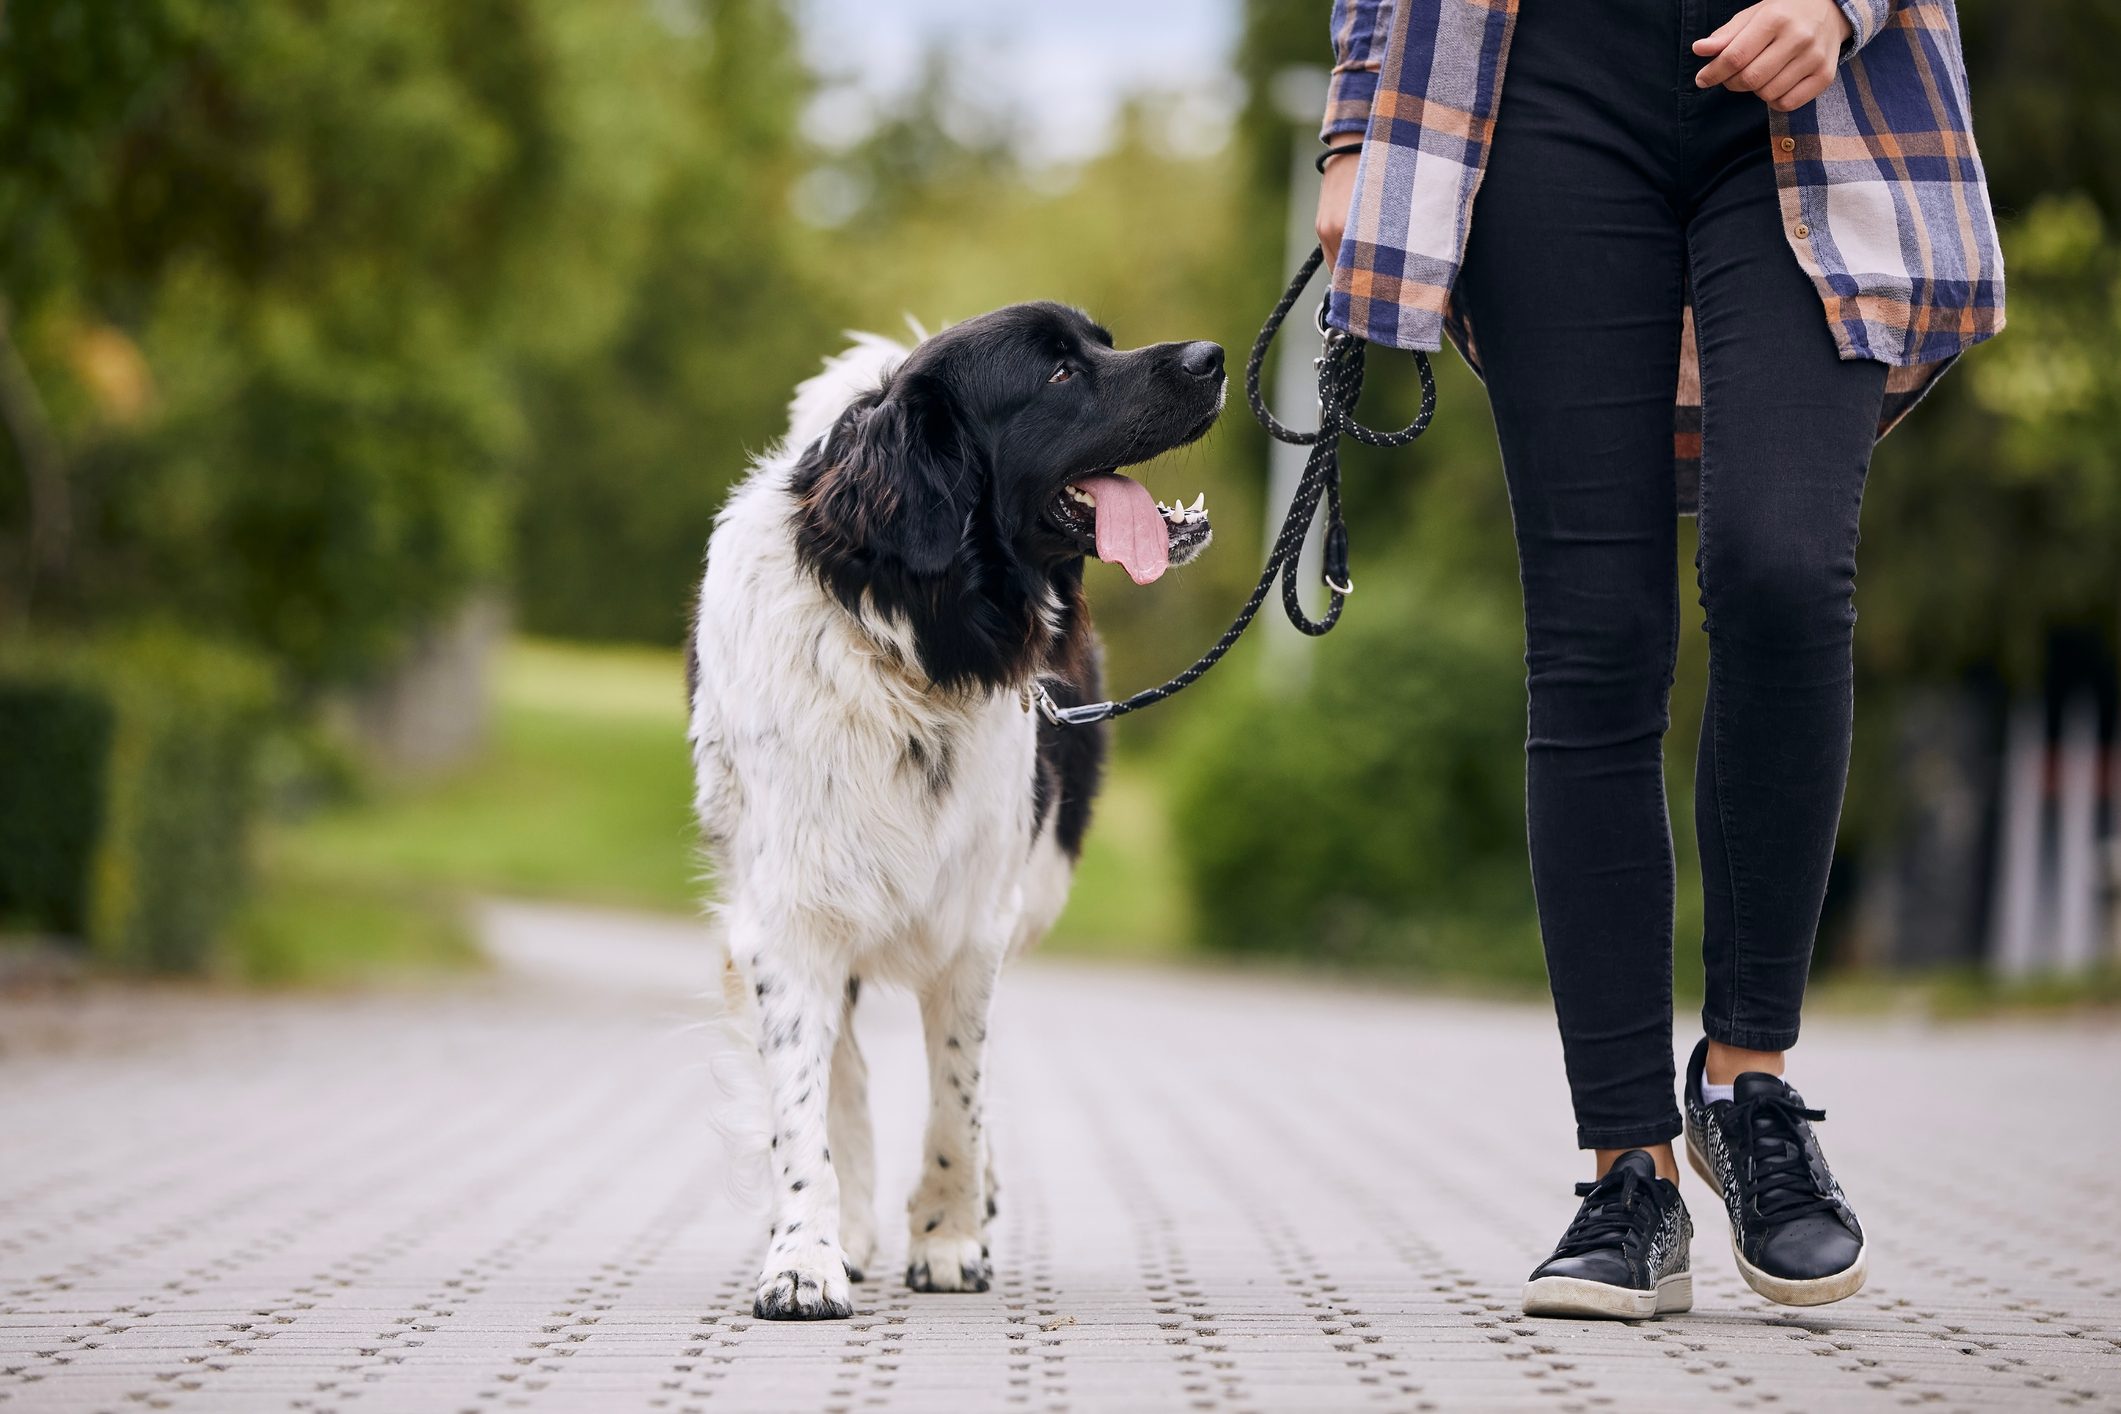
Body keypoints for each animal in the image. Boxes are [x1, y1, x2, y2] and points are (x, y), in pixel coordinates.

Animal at [691, 305, 1230, 1322]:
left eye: (1102, 341)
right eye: (1057, 373)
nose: (1213, 355)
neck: (909, 640)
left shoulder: (977, 920)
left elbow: (956, 1091)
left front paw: (947, 1236)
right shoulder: (782, 919)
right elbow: (805, 1106)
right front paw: (806, 1256)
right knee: (845, 1072)